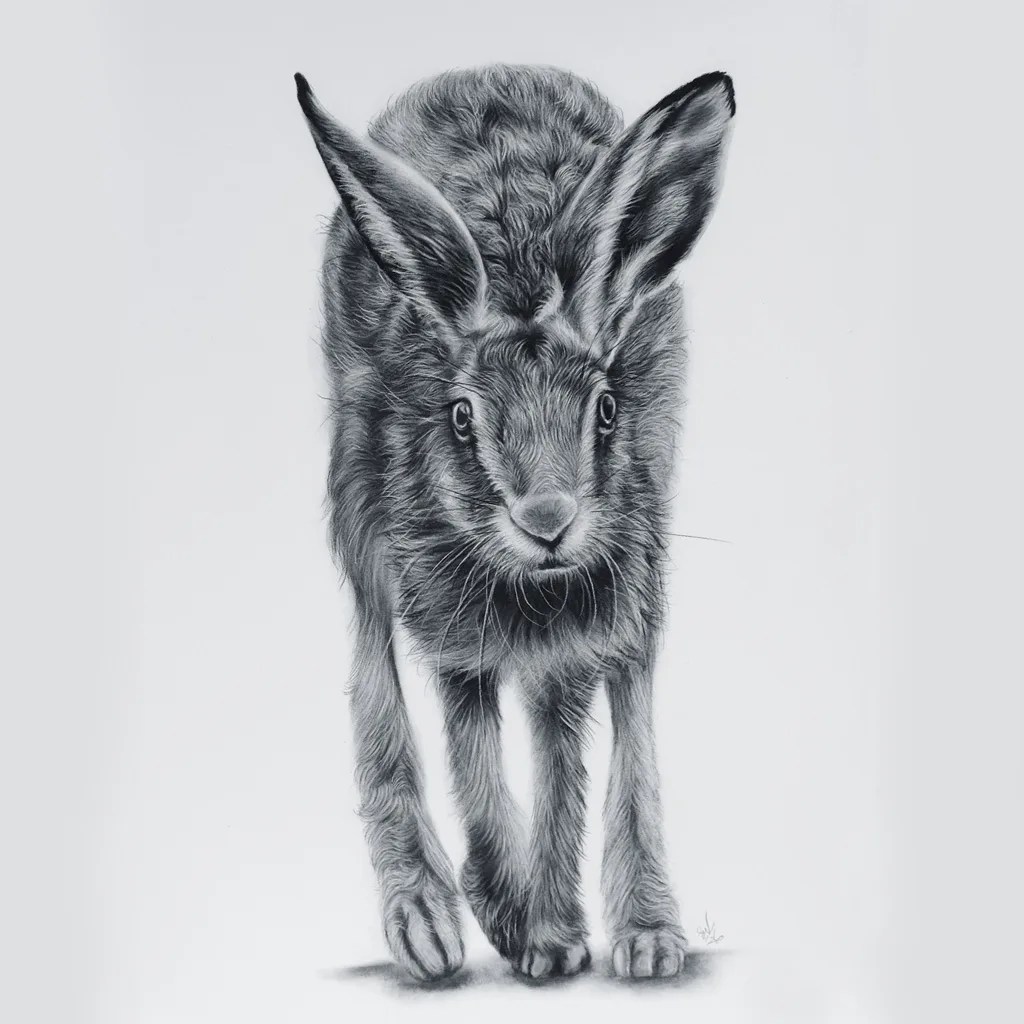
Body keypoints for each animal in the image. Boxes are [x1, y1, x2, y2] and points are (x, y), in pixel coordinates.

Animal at [295, 63, 734, 982]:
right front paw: (512, 917)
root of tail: (483, 68)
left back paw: (637, 933)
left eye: (606, 410)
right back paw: (424, 922)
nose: (548, 519)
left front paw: (572, 937)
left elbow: (568, 757)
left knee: (622, 704)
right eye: (462, 417)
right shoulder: (456, 639)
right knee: (370, 649)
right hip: (355, 489)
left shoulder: (584, 637)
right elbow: (475, 759)